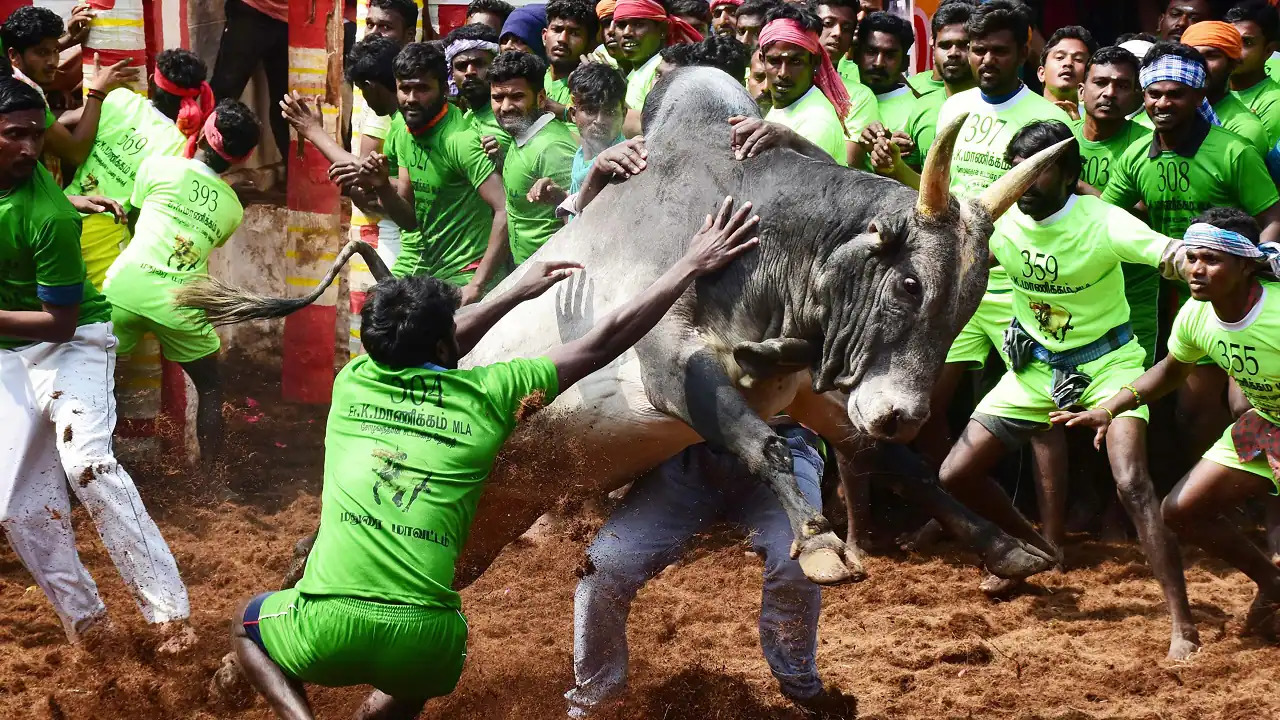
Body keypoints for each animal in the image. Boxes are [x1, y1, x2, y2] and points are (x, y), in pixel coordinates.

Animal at [180, 64, 1064, 586]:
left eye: (970, 300)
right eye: (909, 284)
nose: (904, 409)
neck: (768, 245)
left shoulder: (819, 396)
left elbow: (905, 465)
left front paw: (1008, 548)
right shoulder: (672, 370)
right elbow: (763, 443)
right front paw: (818, 543)